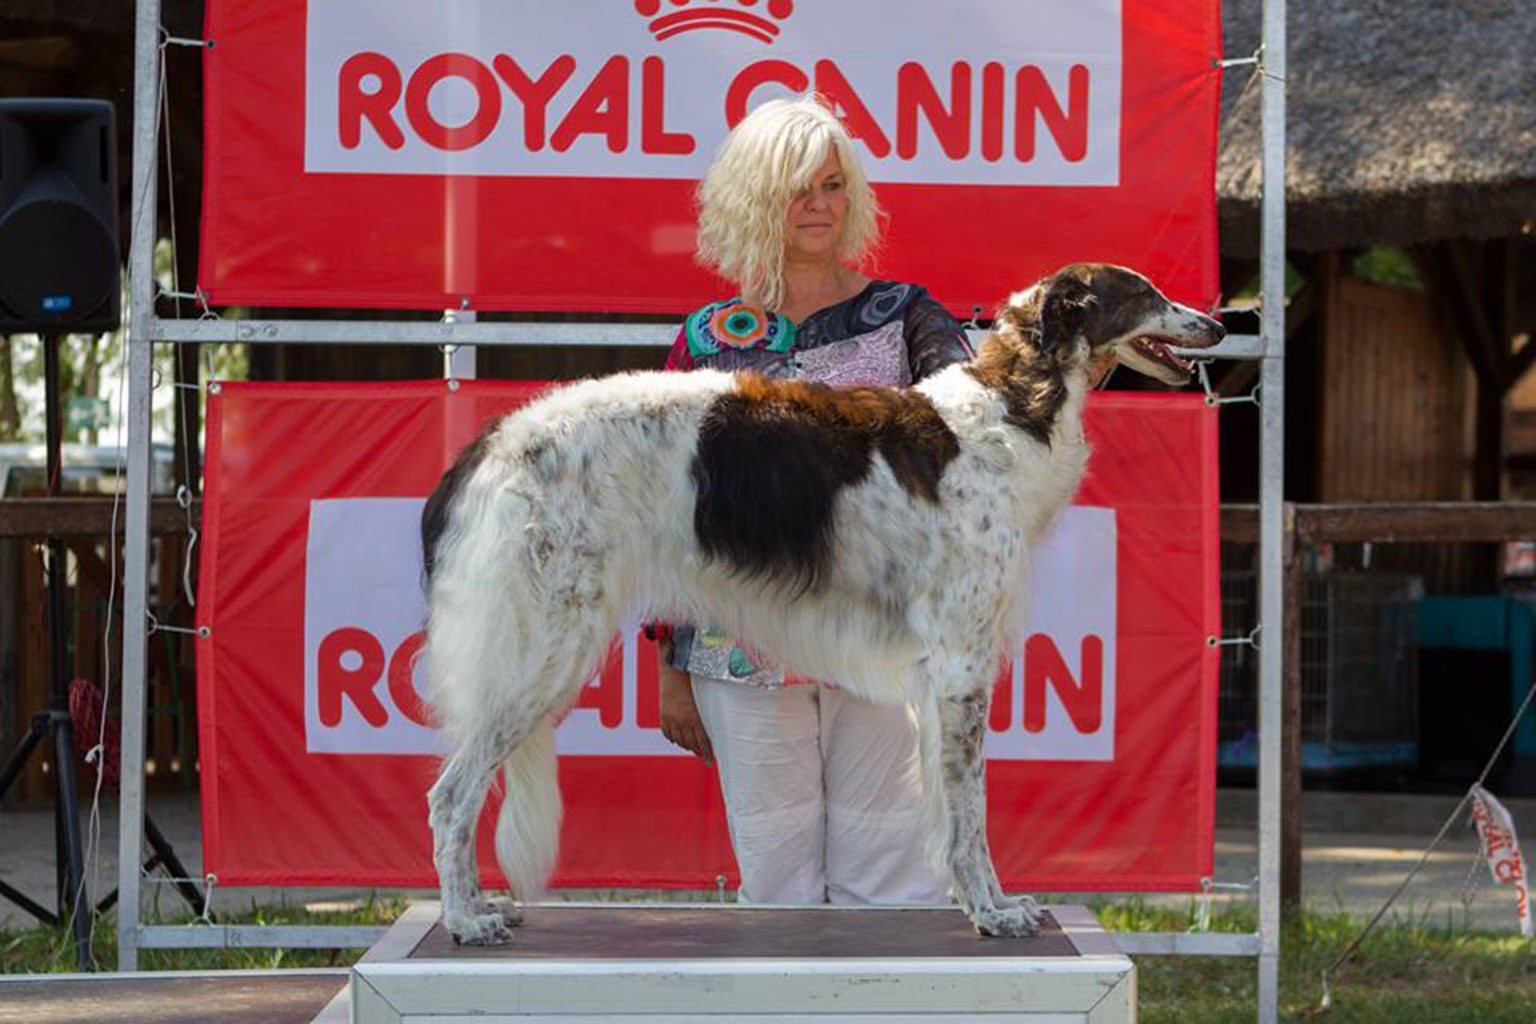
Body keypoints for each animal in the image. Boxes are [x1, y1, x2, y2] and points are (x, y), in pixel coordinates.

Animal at [420, 264, 1222, 945]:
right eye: (1144, 292)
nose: (1215, 323)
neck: (1007, 412)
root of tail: (497, 439)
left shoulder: (944, 676)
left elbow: (956, 808)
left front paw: (988, 904)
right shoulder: (962, 665)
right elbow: (970, 813)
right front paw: (994, 912)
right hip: (542, 647)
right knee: (450, 795)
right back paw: (464, 919)